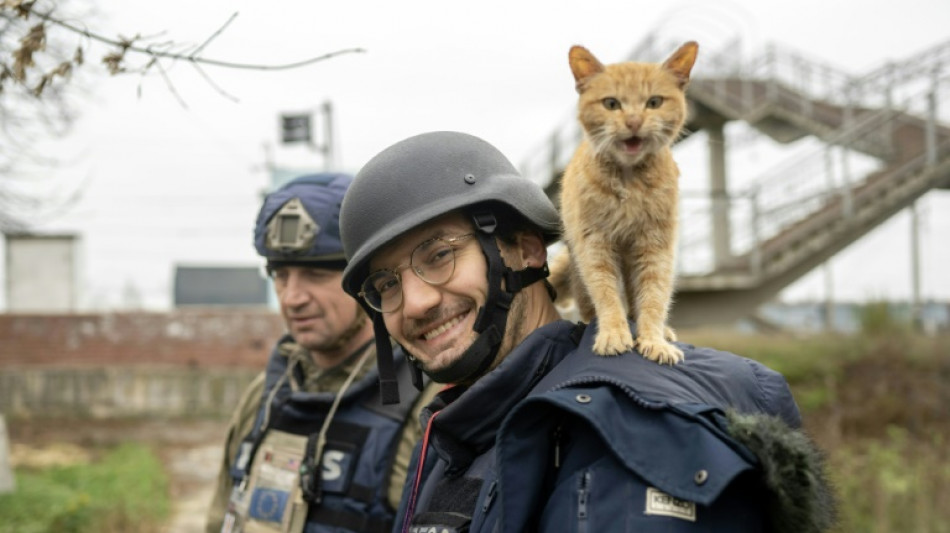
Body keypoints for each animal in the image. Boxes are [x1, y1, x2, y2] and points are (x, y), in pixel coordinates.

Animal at [552, 39, 700, 360]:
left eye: (654, 102)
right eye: (611, 104)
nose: (633, 121)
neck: (629, 182)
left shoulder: (655, 245)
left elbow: (654, 296)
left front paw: (654, 340)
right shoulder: (594, 245)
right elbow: (606, 293)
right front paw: (613, 334)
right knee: (588, 304)